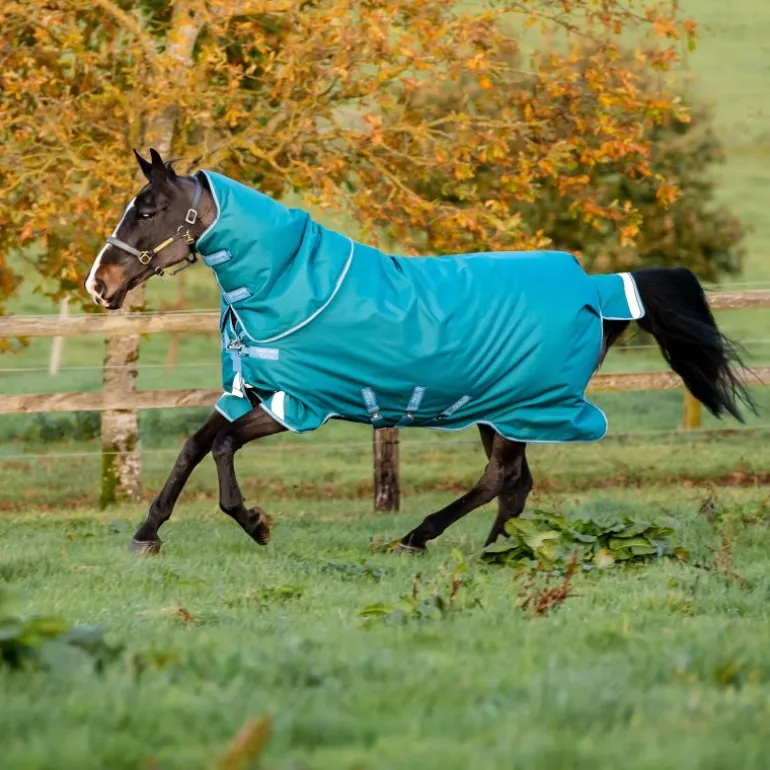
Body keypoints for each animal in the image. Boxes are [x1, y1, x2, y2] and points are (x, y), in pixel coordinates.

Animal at [85, 148, 755, 555]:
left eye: (148, 209)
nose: (99, 284)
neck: (290, 283)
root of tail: (597, 289)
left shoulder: (296, 404)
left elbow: (222, 446)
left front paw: (255, 523)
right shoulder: (253, 392)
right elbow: (194, 446)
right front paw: (147, 532)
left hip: (518, 409)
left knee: (500, 479)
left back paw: (424, 537)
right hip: (498, 410)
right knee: (515, 484)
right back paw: (492, 550)